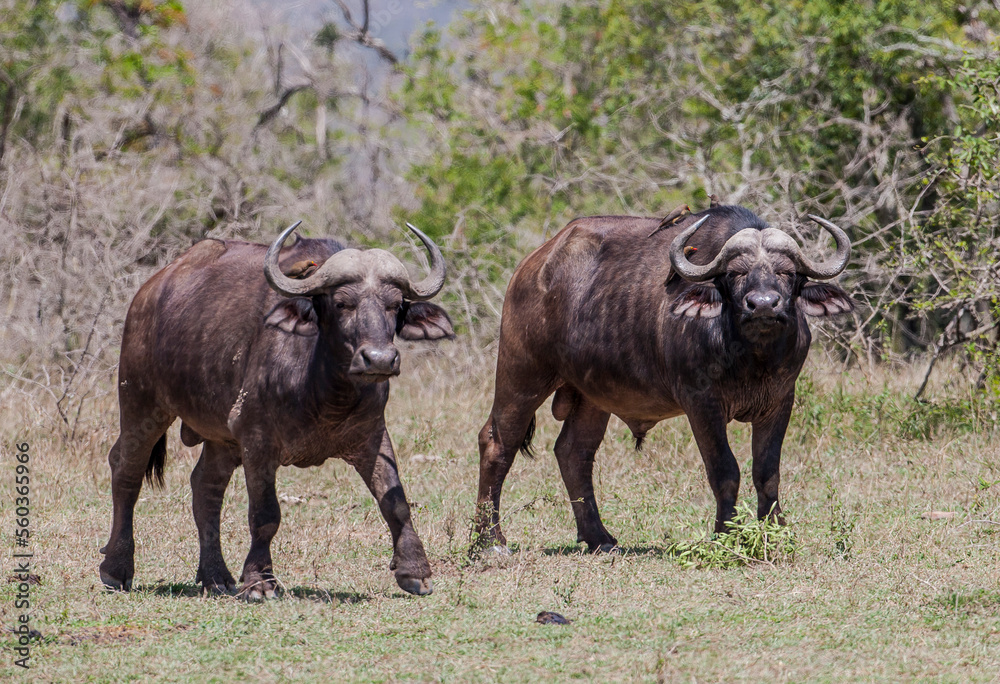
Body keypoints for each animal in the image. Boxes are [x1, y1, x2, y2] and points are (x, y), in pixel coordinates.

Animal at [100, 222, 454, 596]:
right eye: (342, 303)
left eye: (395, 305)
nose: (380, 359)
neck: (325, 392)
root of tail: (148, 292)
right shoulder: (257, 440)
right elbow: (265, 514)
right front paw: (259, 580)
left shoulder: (372, 436)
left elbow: (396, 502)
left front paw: (415, 570)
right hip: (142, 402)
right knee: (126, 469)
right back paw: (117, 568)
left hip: (221, 438)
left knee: (205, 487)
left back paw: (216, 576)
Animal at [474, 204, 852, 556]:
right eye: (735, 273)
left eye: (787, 272)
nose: (762, 305)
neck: (752, 356)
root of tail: (533, 265)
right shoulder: (701, 403)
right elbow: (725, 470)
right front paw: (727, 536)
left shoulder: (780, 400)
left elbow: (767, 471)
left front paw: (775, 534)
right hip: (523, 372)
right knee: (497, 442)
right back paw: (489, 542)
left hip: (592, 395)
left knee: (573, 452)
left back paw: (599, 538)